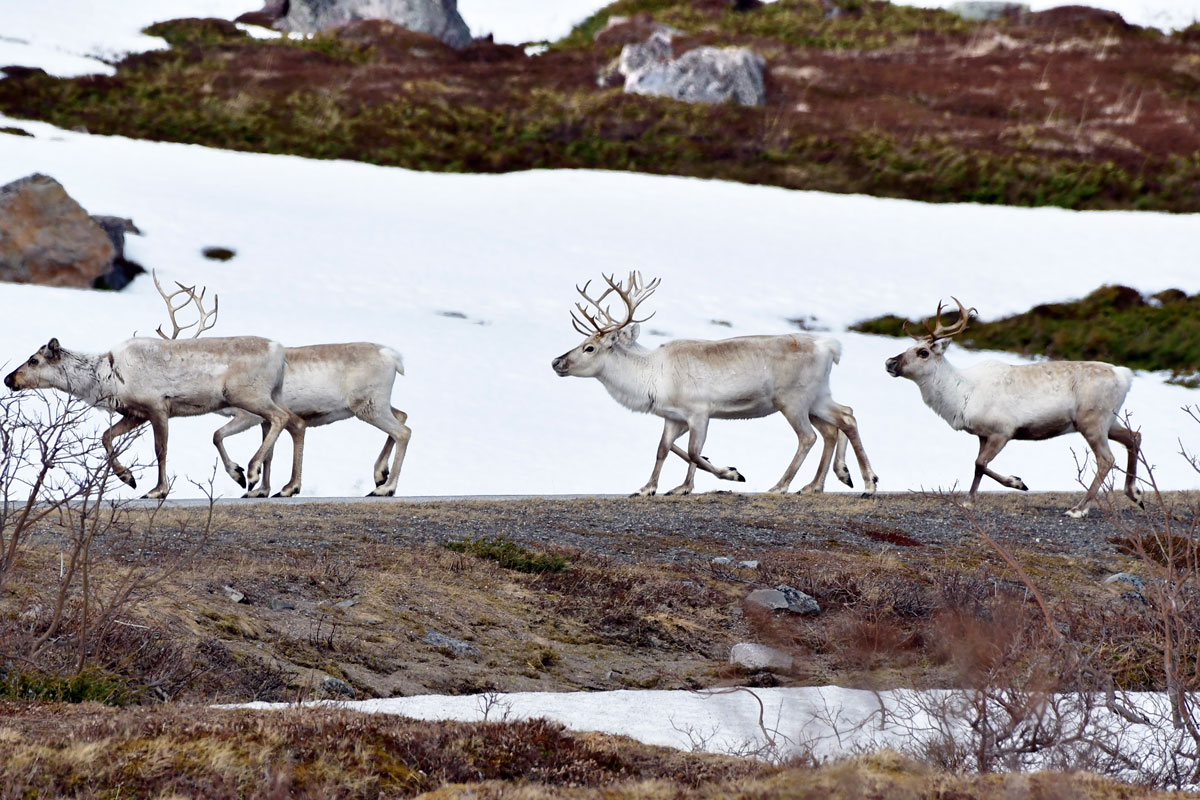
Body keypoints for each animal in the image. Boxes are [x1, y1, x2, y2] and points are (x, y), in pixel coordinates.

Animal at [3, 275, 305, 500]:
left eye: (33, 360)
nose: (8, 379)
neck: (107, 377)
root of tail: (280, 351)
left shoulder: (157, 406)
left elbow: (161, 450)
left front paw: (157, 490)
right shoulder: (134, 413)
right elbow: (106, 437)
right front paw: (128, 477)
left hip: (246, 393)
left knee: (281, 418)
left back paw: (251, 472)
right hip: (273, 393)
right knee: (297, 422)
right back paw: (285, 485)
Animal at [551, 272, 878, 497]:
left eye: (589, 348)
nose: (556, 362)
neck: (650, 375)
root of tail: (830, 347)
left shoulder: (699, 412)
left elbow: (693, 452)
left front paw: (729, 474)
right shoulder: (673, 417)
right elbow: (664, 449)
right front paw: (651, 487)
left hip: (792, 400)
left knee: (809, 436)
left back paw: (785, 485)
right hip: (817, 397)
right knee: (843, 418)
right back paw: (839, 480)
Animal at [884, 298, 1144, 518]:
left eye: (923, 352)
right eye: (909, 347)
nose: (889, 362)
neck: (961, 394)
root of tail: (1125, 376)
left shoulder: (1003, 430)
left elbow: (980, 463)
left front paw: (1018, 482)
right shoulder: (982, 434)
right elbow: (978, 466)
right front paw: (970, 500)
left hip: (1092, 421)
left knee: (1106, 459)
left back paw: (1078, 509)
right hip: (1108, 420)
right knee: (1134, 436)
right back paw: (1135, 494)